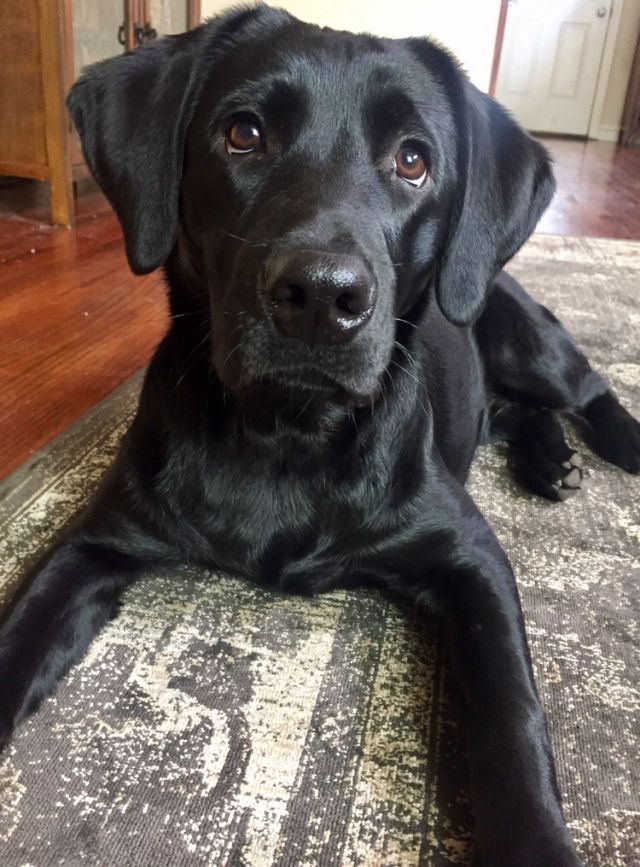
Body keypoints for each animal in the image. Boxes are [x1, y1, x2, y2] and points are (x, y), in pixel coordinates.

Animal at [1, 5, 640, 860]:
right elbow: (14, 638)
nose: (320, 295)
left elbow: (513, 717)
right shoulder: (93, 538)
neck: (287, 434)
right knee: (517, 414)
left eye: (413, 160)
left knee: (586, 386)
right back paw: (550, 462)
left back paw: (616, 445)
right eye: (243, 133)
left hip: (525, 337)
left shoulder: (472, 557)